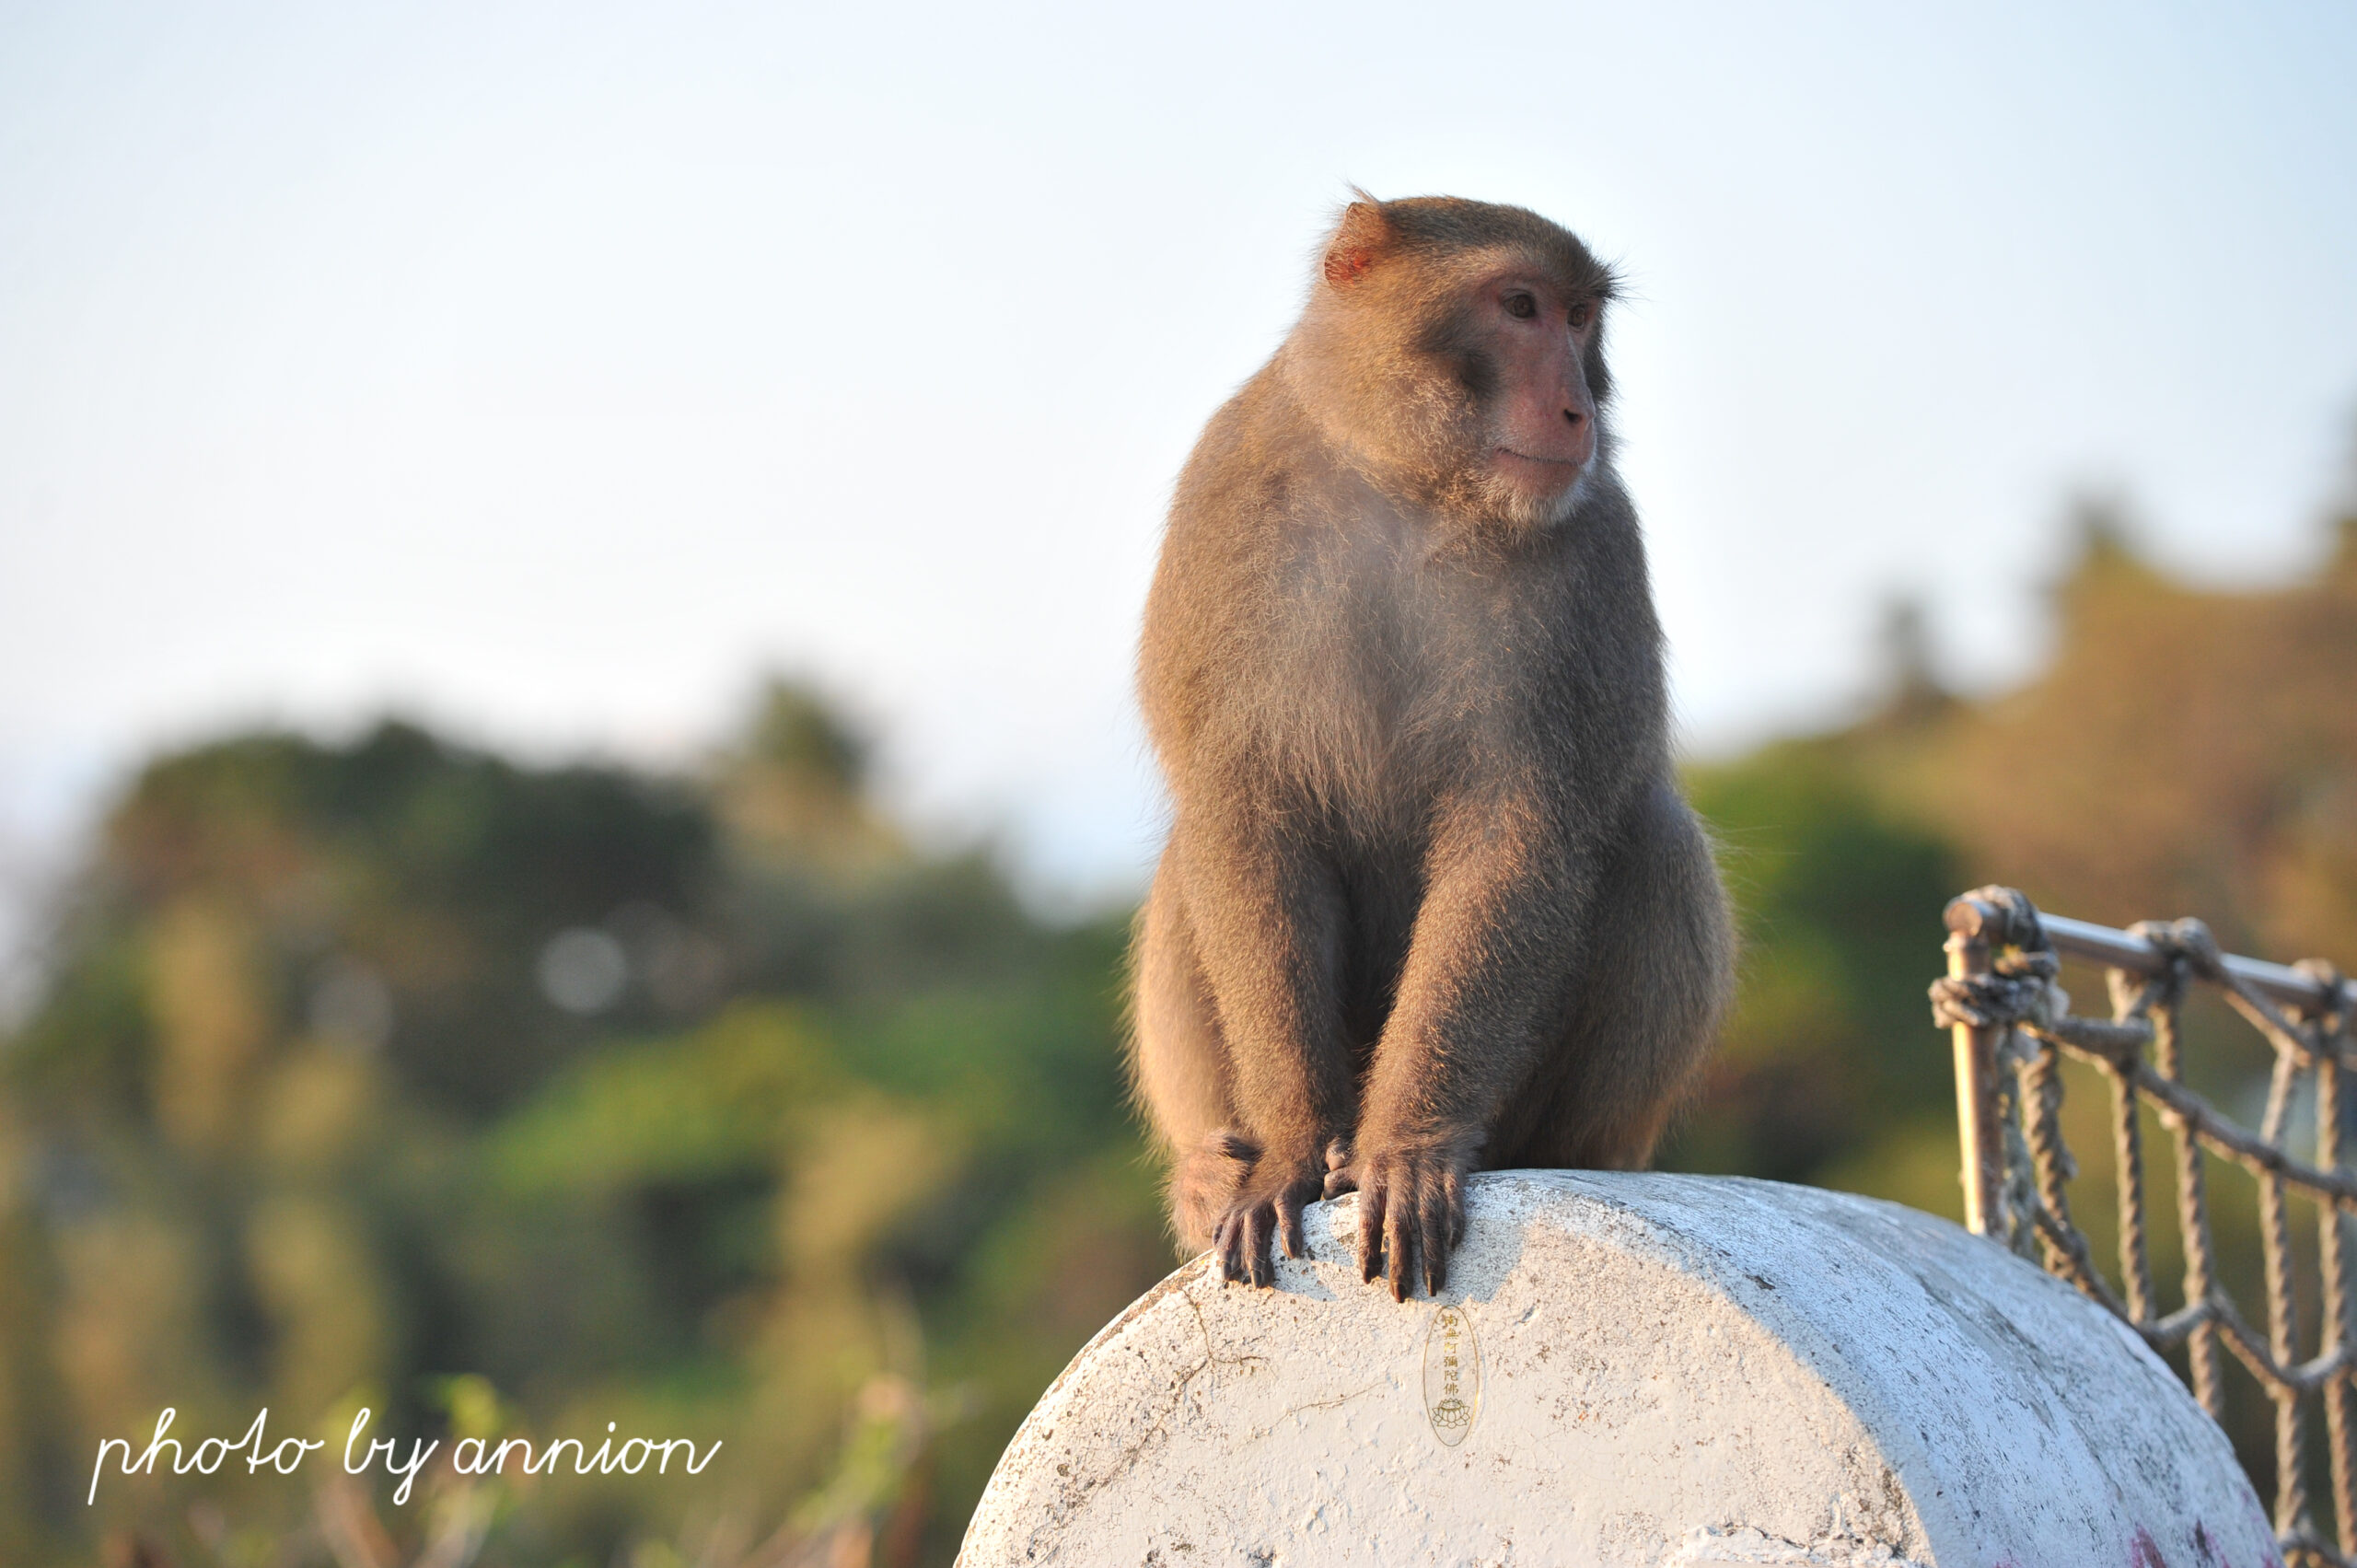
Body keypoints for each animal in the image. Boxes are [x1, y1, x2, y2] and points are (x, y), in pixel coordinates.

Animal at [1121, 192, 1735, 1292]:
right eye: (1521, 306)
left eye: (1581, 319)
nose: (1576, 411)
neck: (1406, 481)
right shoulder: (1223, 507)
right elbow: (1246, 817)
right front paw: (1286, 1147)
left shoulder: (1594, 554)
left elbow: (1520, 835)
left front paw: (1407, 1147)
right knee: (1190, 851)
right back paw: (1206, 1171)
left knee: (1654, 836)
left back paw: (1560, 1149)